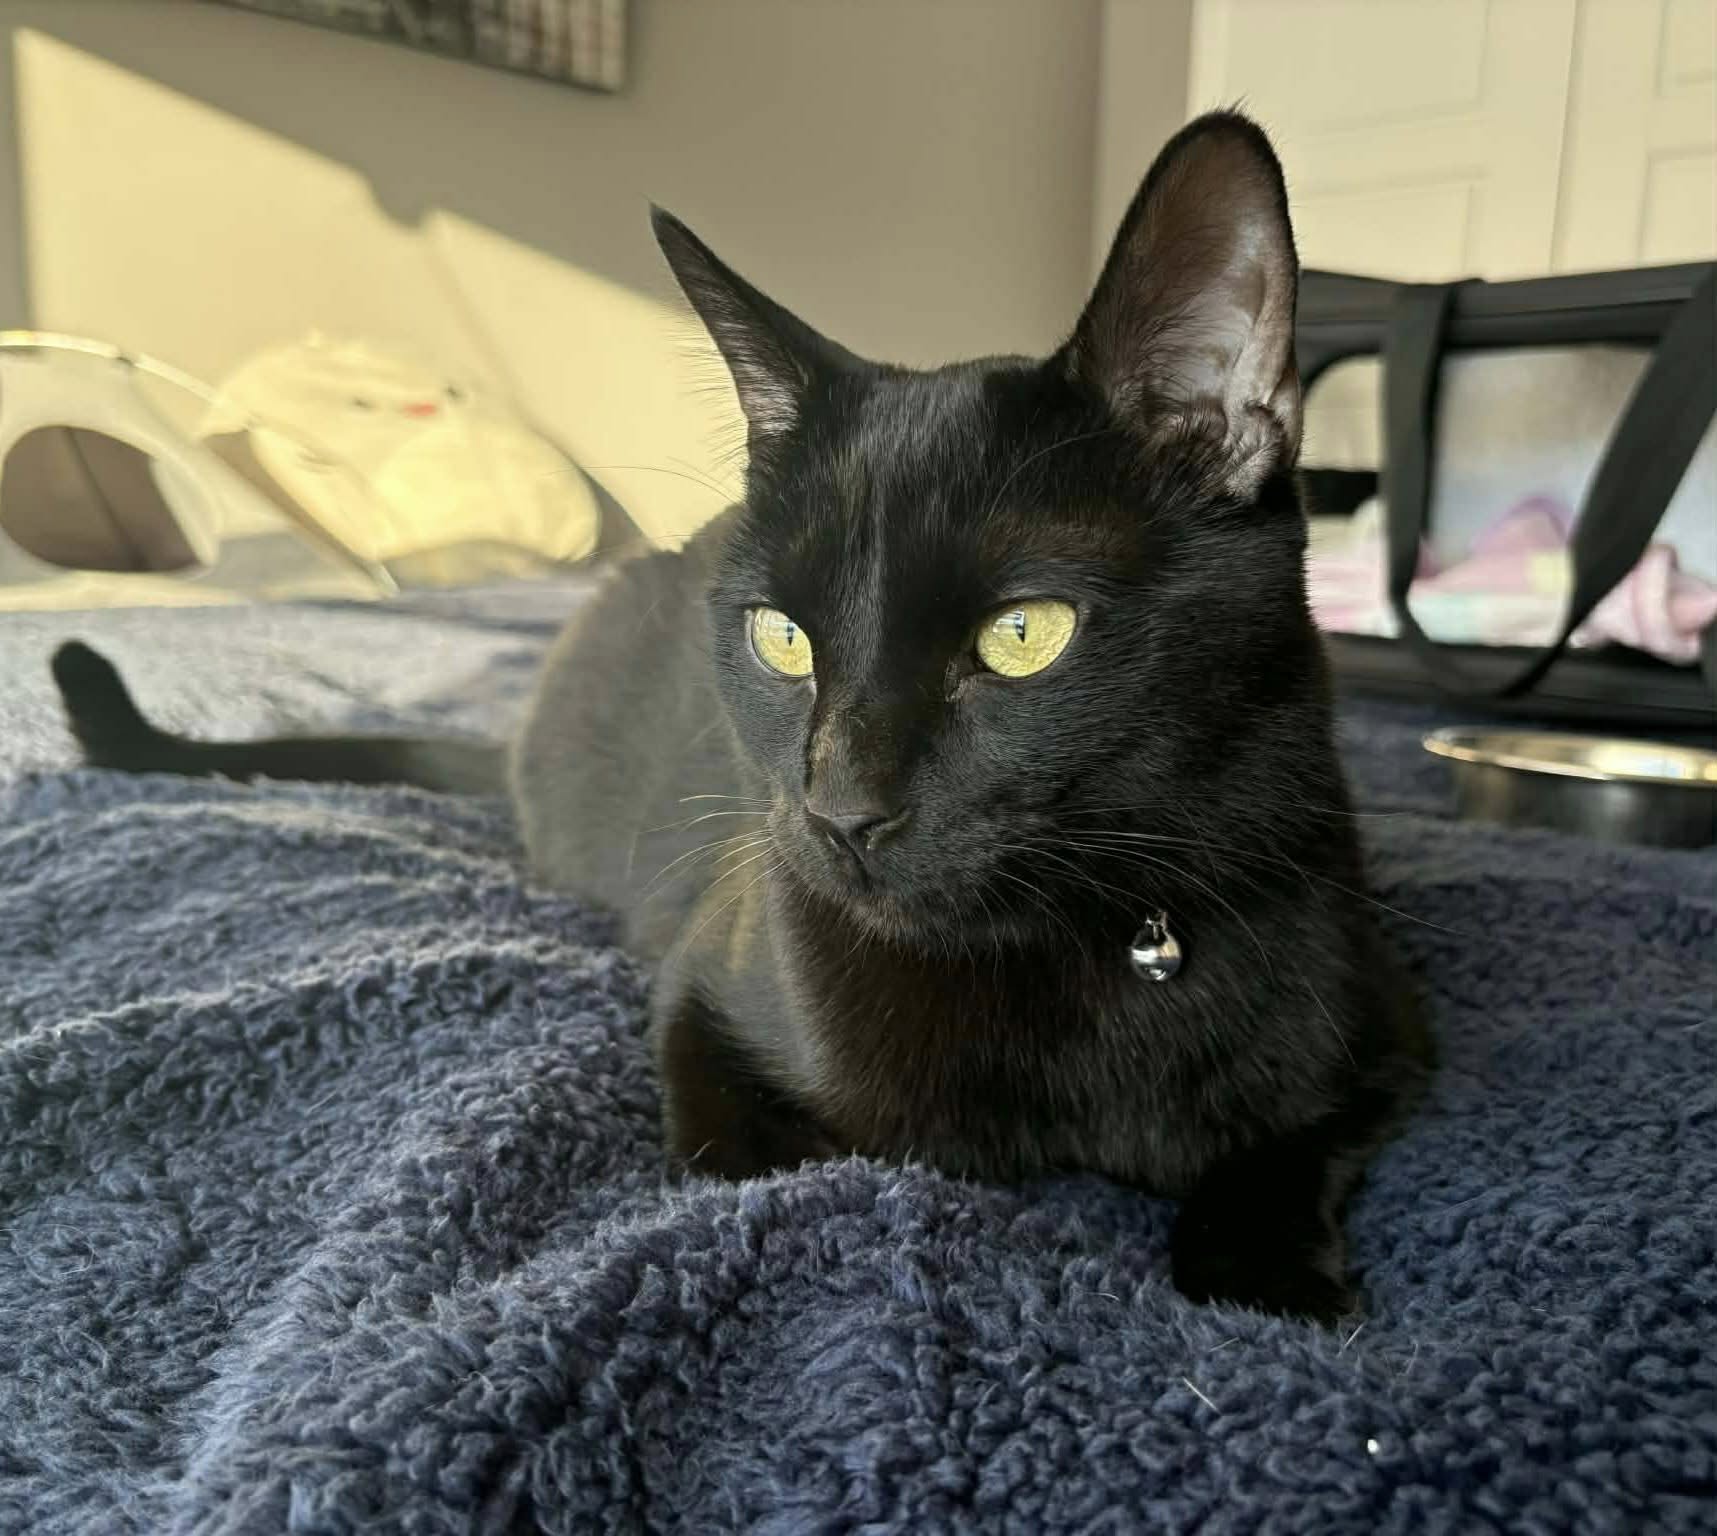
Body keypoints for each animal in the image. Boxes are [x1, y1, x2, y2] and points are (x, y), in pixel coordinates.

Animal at [53, 112, 1432, 1323]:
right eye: (782, 639)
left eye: (1023, 635)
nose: (840, 809)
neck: (1085, 948)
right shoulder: (701, 1002)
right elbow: (770, 1176)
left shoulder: (1376, 1028)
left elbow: (1282, 1147)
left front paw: (1267, 1285)